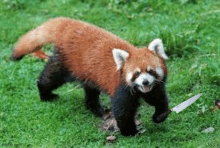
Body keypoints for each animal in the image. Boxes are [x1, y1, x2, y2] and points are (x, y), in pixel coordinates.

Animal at [11, 17, 169, 136]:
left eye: (150, 71)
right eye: (136, 73)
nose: (145, 82)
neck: (138, 90)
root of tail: (70, 25)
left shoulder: (153, 87)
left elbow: (158, 98)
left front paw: (160, 116)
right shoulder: (121, 88)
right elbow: (123, 111)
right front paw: (130, 132)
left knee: (90, 90)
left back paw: (96, 109)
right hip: (67, 62)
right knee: (52, 76)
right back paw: (45, 93)